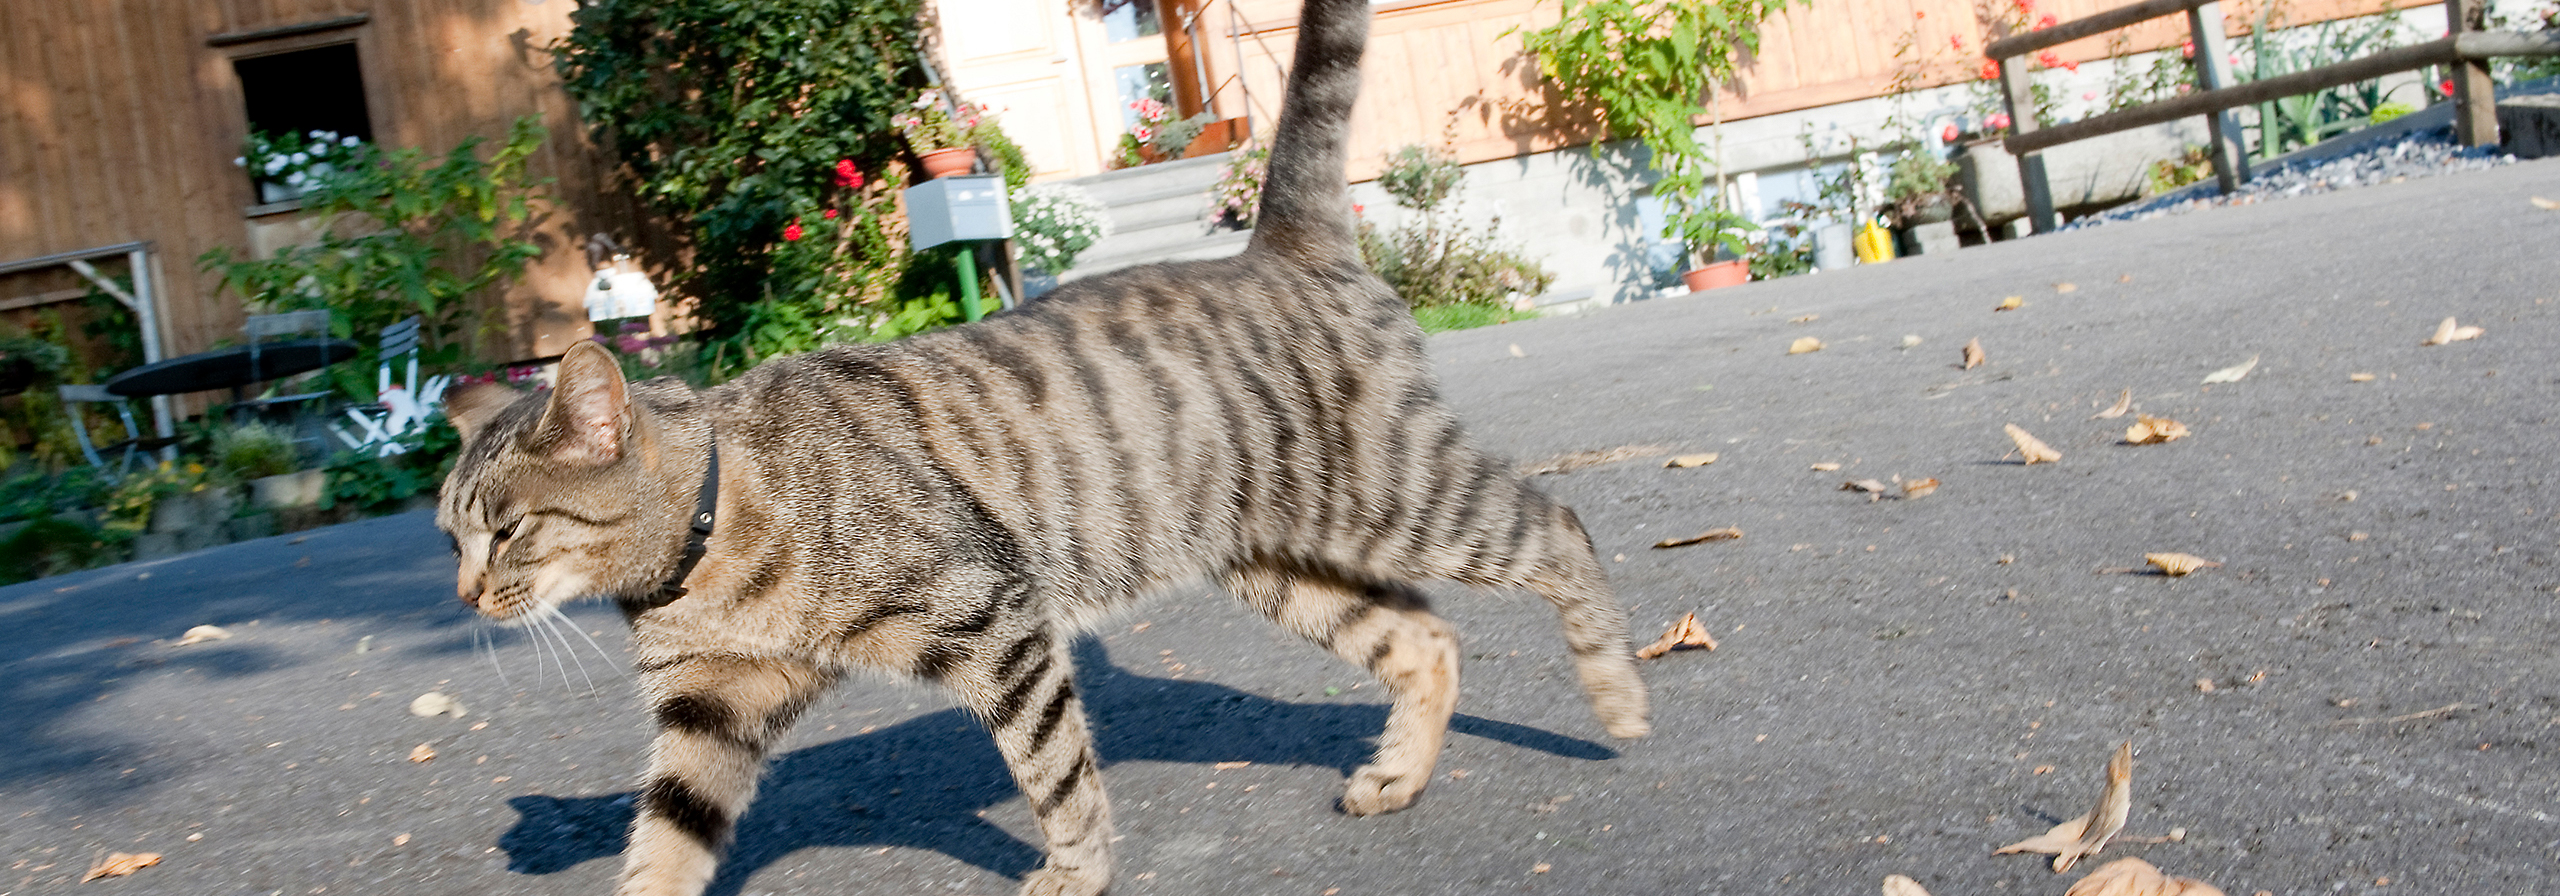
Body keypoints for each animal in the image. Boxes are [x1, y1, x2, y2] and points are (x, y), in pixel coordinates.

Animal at [435, 0, 1638, 890]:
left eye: (506, 529)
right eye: (450, 536)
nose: (461, 596)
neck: (704, 545)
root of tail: (1277, 244)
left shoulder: (995, 617)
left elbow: (1055, 771)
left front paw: (1075, 869)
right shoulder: (709, 714)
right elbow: (661, 850)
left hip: (1402, 494)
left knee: (1560, 527)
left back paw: (1619, 697)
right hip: (1279, 561)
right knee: (1424, 639)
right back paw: (1396, 774)